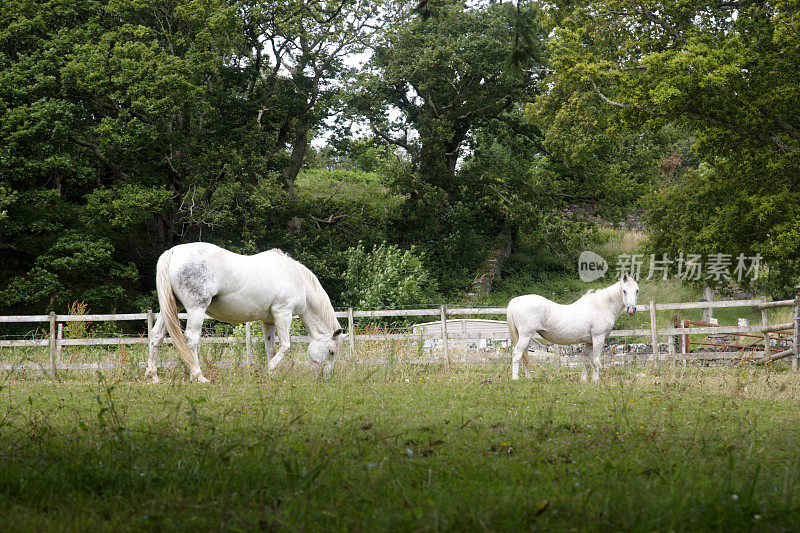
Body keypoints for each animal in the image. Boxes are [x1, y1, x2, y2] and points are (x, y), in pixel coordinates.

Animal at [147, 241, 344, 382]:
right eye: (332, 352)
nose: (325, 379)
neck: (298, 280)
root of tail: (173, 252)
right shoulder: (283, 313)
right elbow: (286, 346)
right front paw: (269, 371)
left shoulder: (269, 321)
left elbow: (271, 349)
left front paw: (272, 375)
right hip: (197, 309)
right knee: (191, 339)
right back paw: (199, 377)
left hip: (172, 308)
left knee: (157, 335)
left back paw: (153, 376)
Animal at [506, 274, 636, 382]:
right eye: (624, 291)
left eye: (637, 290)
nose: (631, 310)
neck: (600, 306)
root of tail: (517, 300)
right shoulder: (598, 338)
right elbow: (596, 361)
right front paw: (595, 381)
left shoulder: (589, 342)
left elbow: (587, 361)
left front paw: (584, 380)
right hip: (525, 336)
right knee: (517, 354)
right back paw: (515, 379)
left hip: (526, 338)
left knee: (524, 356)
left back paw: (528, 378)